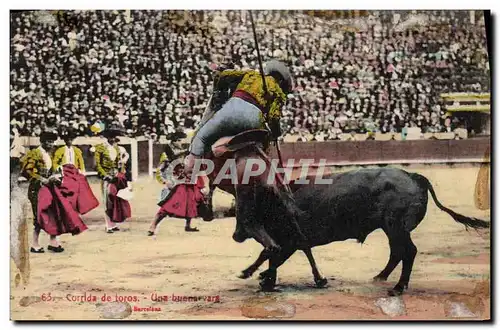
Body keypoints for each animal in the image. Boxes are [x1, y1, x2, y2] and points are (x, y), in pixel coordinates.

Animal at [222, 168, 488, 296]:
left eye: (245, 212)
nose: (235, 236)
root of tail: (413, 176)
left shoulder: (290, 241)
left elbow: (270, 255)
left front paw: (254, 275)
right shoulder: (292, 242)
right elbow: (272, 256)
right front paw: (261, 277)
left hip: (397, 227)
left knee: (408, 252)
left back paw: (398, 287)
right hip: (391, 229)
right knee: (397, 252)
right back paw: (380, 277)